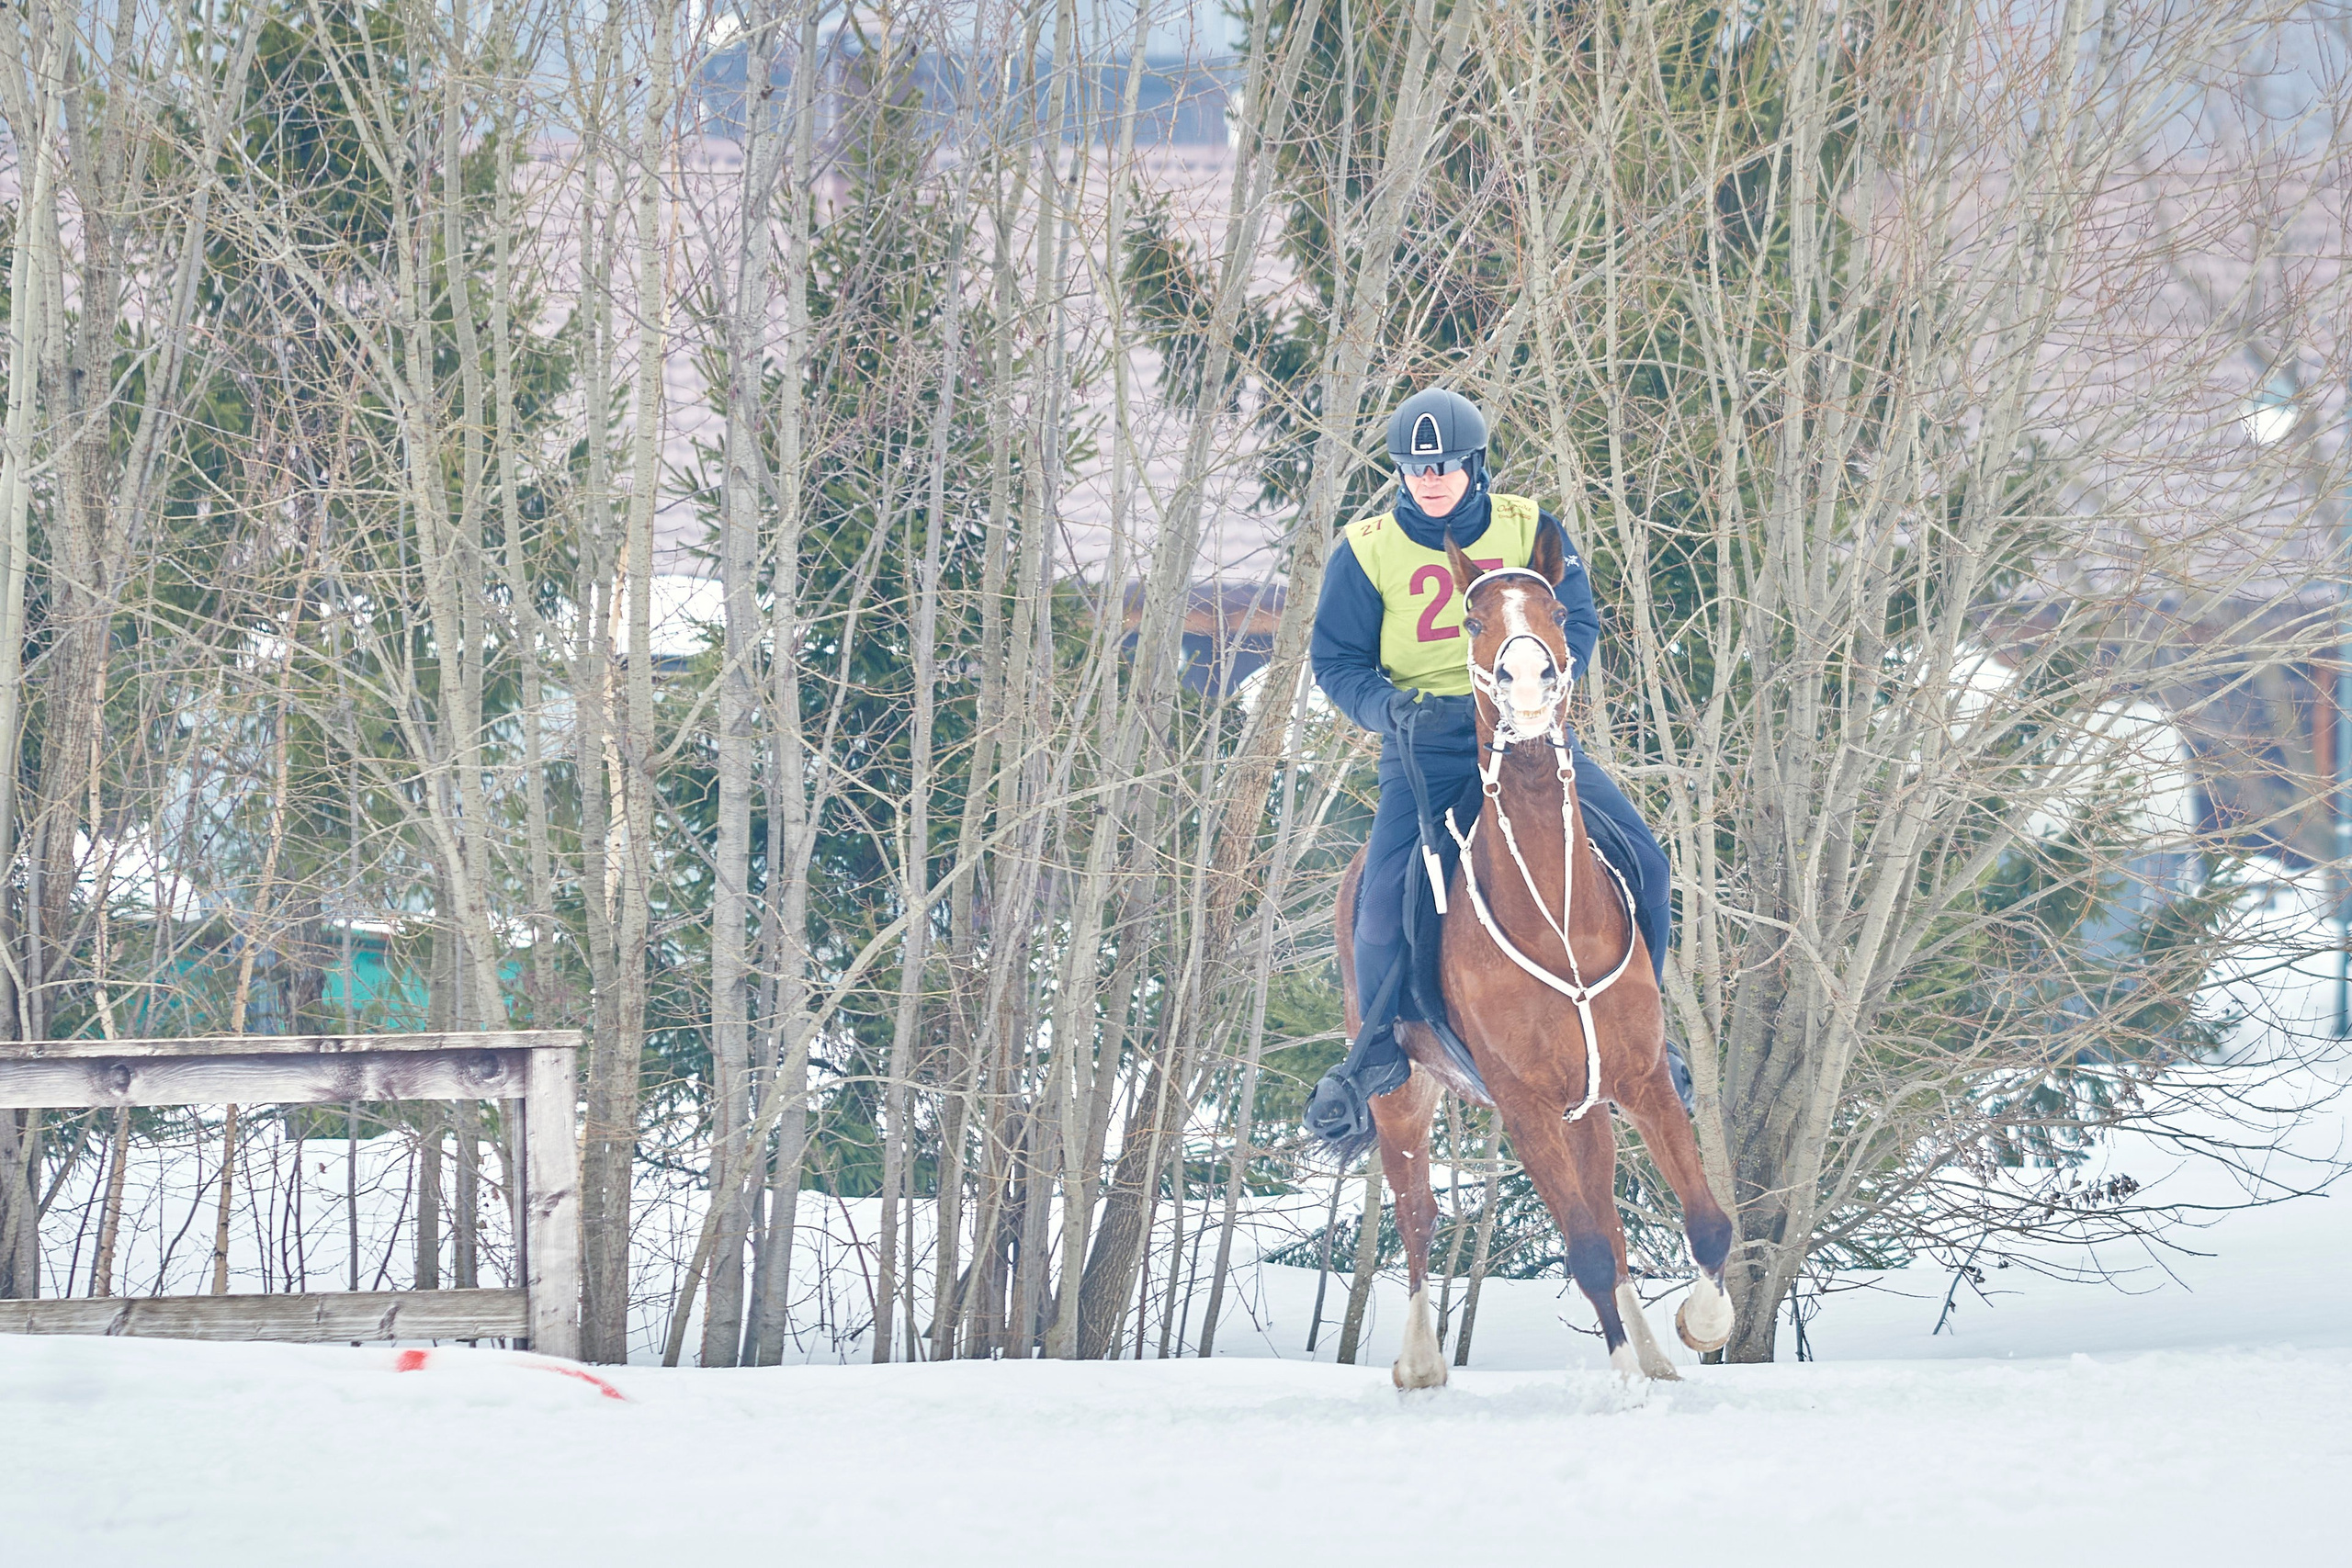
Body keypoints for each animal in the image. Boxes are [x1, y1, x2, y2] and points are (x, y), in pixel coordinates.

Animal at [1333, 524, 1736, 1388]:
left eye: (1553, 610)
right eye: (1473, 620)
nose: (1527, 679)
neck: (1558, 912)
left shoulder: (1643, 1081)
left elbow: (1703, 1225)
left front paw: (1695, 1327)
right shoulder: (1524, 1108)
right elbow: (1584, 1252)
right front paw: (1622, 1380)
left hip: (1590, 1108)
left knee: (1613, 1219)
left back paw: (1656, 1356)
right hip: (1404, 1096)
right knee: (1417, 1215)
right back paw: (1421, 1359)